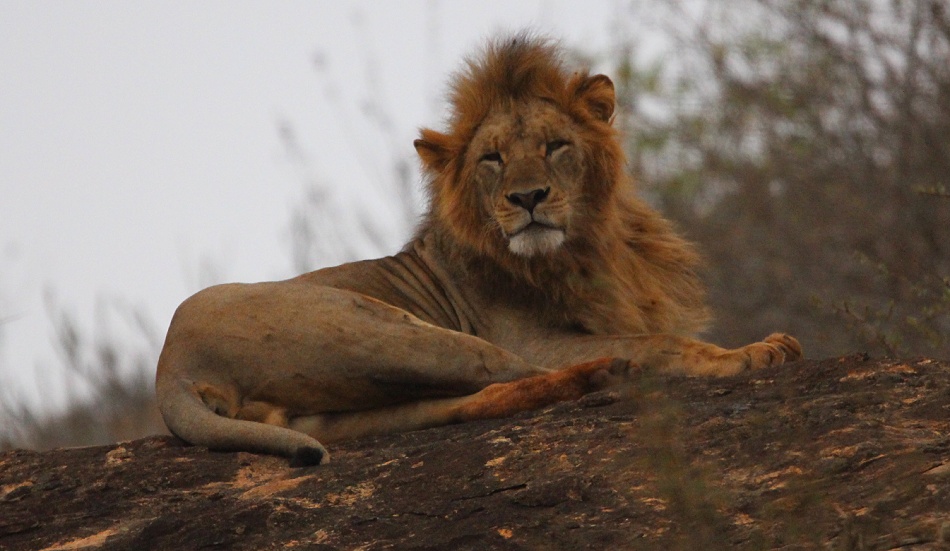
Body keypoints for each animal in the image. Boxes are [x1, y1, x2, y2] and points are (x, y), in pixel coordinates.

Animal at [155, 33, 802, 467]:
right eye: (491, 158)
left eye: (555, 146)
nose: (529, 197)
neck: (587, 251)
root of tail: (170, 368)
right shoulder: (529, 334)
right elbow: (662, 340)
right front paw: (748, 353)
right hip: (390, 331)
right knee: (557, 365)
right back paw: (617, 371)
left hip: (339, 413)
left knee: (471, 401)